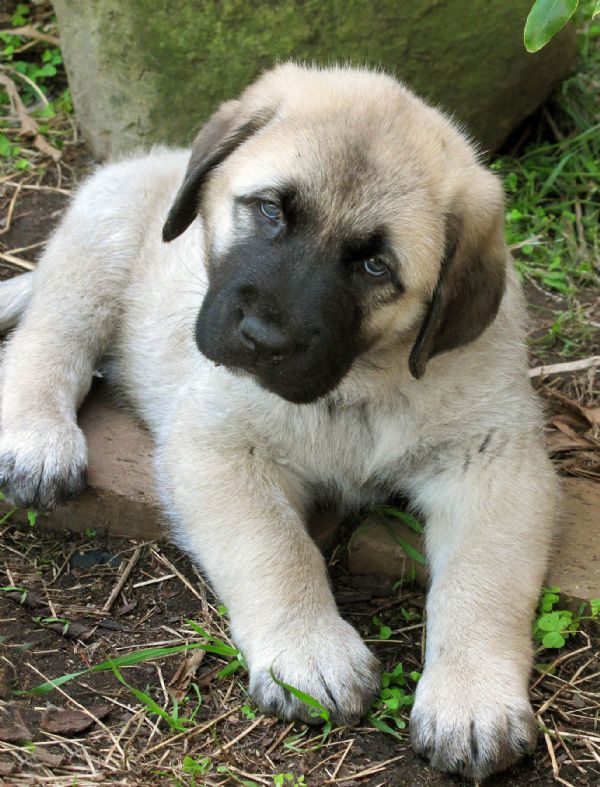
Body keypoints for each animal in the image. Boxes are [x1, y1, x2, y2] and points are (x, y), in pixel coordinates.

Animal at [0, 64, 556, 780]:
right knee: (47, 342)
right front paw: (309, 649)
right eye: (269, 210)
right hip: (100, 248)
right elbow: (275, 548)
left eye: (374, 265)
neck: (359, 385)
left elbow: (482, 582)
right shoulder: (218, 444)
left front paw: (473, 698)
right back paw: (36, 439)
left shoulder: (495, 463)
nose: (263, 339)